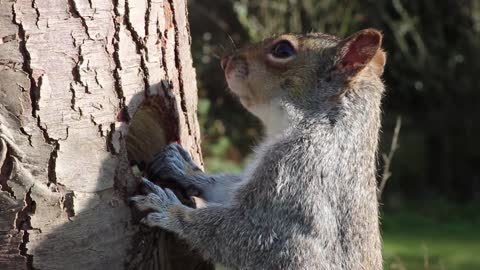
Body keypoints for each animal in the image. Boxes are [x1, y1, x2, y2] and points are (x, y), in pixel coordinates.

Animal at [131, 28, 386, 270]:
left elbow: (246, 236)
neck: (323, 123)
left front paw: (168, 208)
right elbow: (227, 189)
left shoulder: (297, 174)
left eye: (283, 50)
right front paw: (184, 169)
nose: (226, 61)